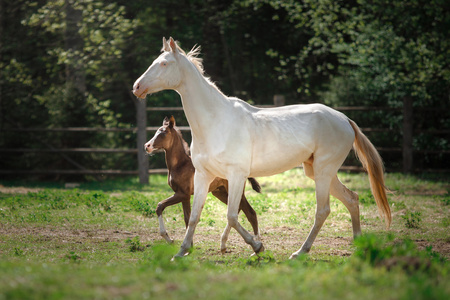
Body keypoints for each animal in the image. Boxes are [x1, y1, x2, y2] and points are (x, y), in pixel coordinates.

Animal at [133, 37, 390, 258]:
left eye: (164, 63)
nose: (136, 87)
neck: (216, 121)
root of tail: (345, 119)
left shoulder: (236, 176)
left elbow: (232, 216)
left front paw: (257, 246)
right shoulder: (204, 176)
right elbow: (195, 216)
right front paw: (180, 252)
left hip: (323, 171)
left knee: (323, 210)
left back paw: (299, 253)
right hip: (316, 170)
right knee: (352, 199)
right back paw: (358, 245)